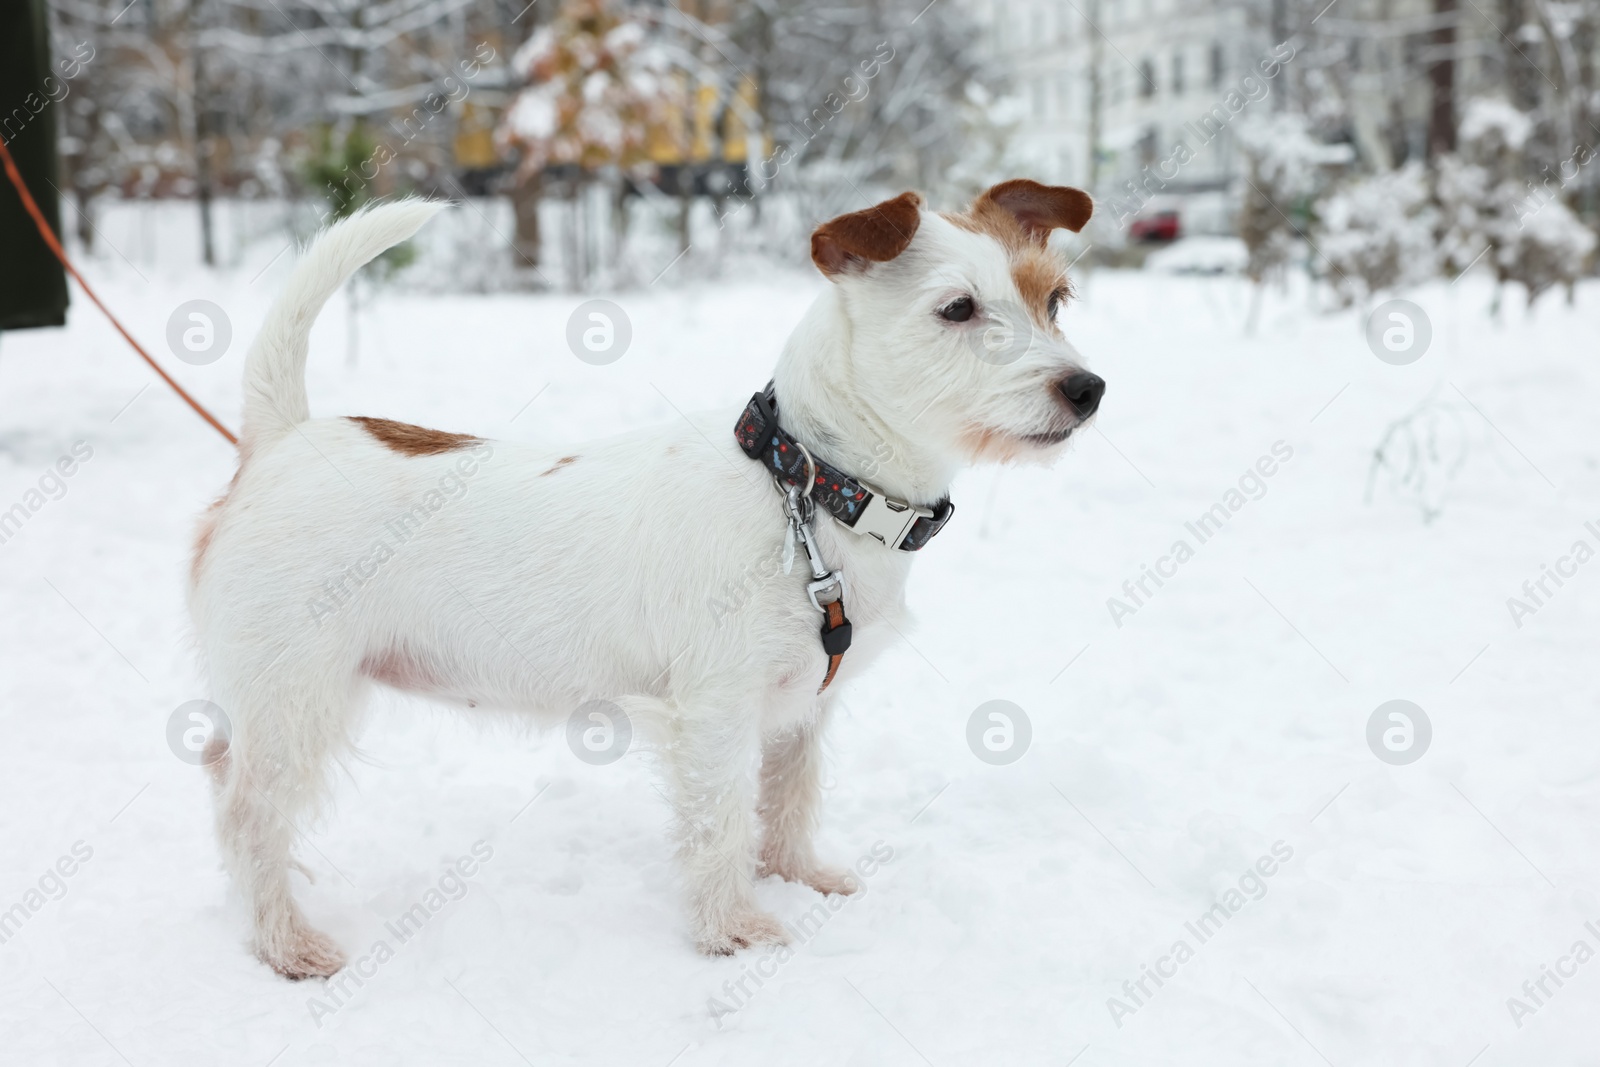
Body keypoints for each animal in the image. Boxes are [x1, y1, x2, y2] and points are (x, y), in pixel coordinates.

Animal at [187, 181, 1100, 979]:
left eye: (1055, 300)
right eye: (958, 309)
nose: (1087, 389)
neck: (807, 484)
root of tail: (281, 437)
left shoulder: (803, 708)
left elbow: (789, 798)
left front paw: (797, 875)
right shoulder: (715, 711)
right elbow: (721, 824)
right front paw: (733, 929)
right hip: (296, 699)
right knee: (245, 817)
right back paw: (284, 943)